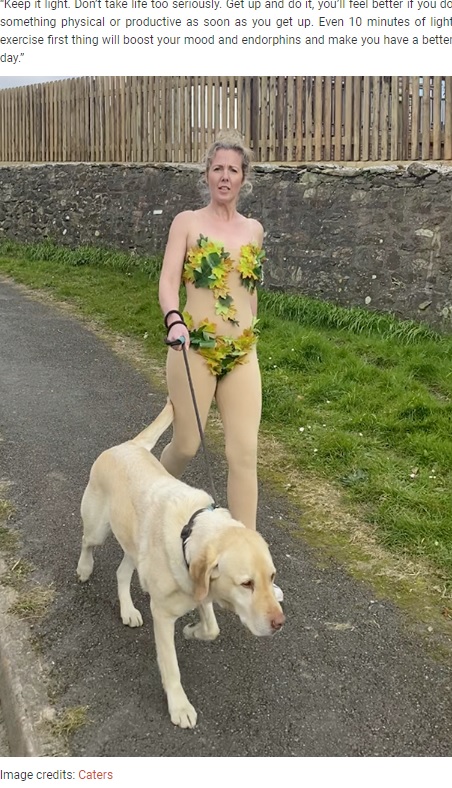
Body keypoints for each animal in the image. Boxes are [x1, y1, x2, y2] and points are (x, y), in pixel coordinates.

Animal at [76, 404, 284, 728]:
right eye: (246, 583)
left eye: (271, 577)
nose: (279, 623)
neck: (188, 534)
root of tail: (129, 445)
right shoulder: (162, 615)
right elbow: (171, 666)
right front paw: (179, 706)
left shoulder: (200, 590)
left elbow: (212, 629)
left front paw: (192, 631)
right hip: (98, 526)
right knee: (87, 542)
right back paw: (84, 568)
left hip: (133, 546)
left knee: (122, 572)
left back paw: (128, 610)